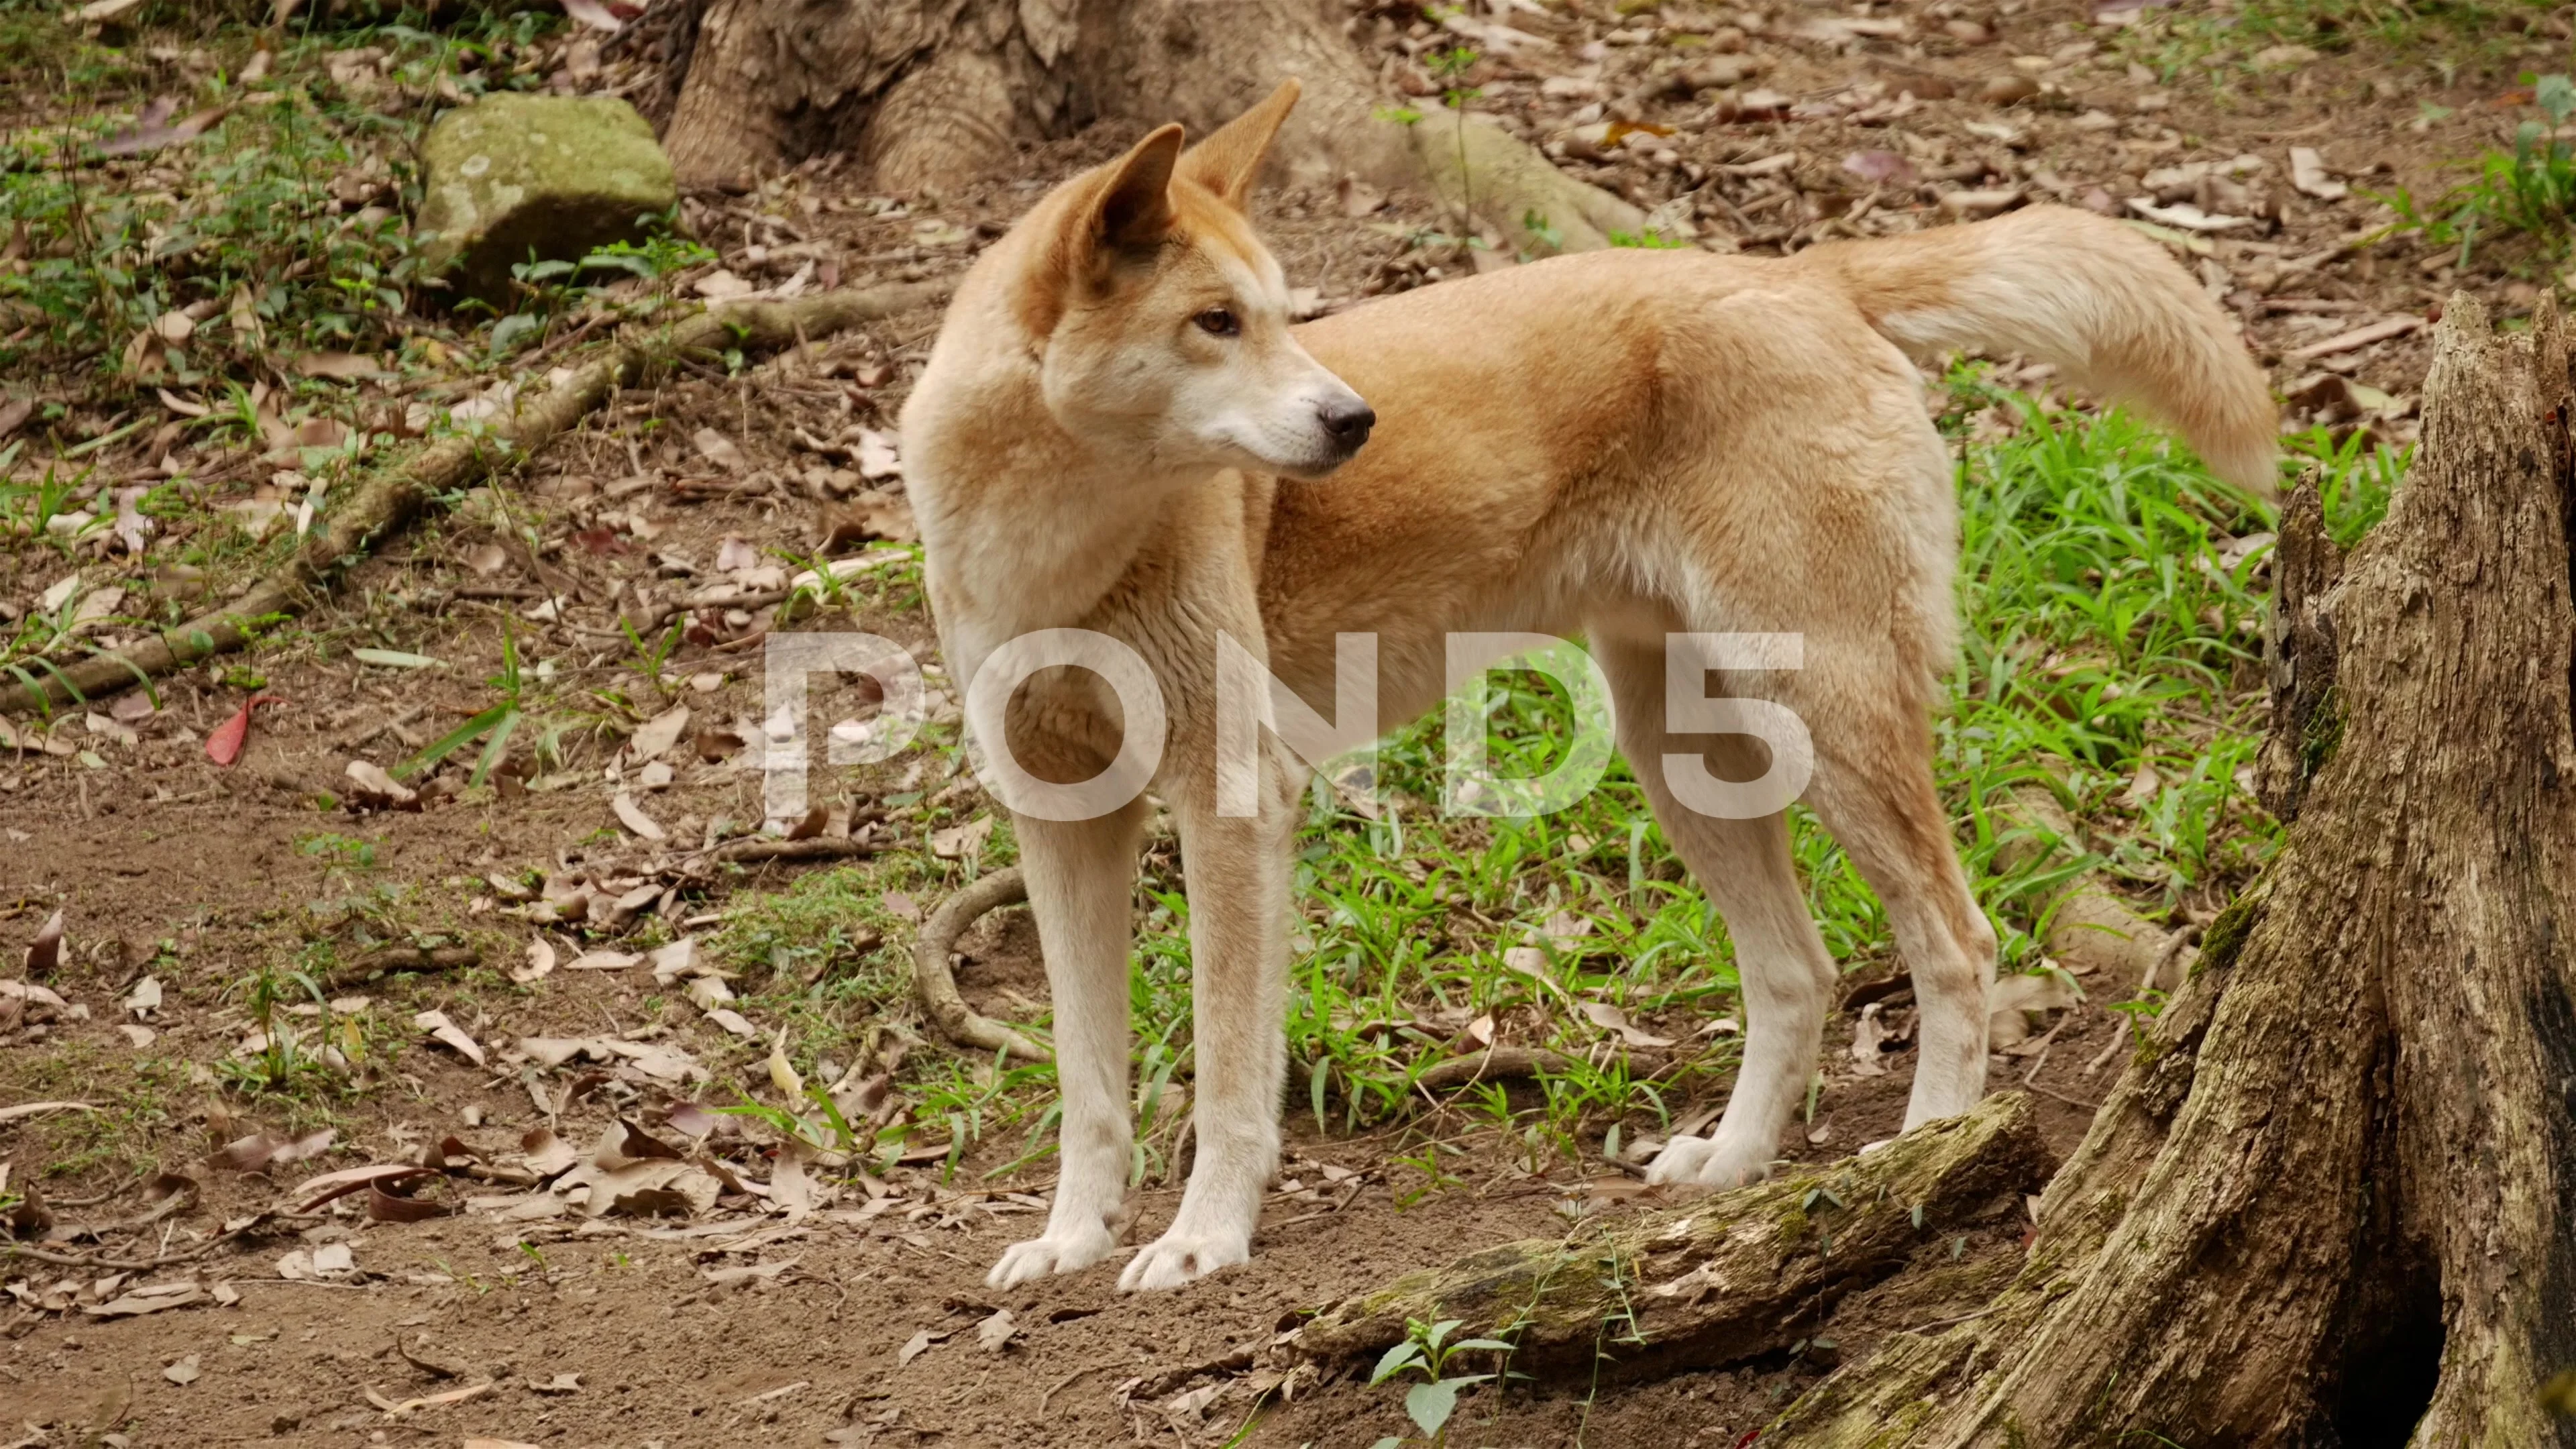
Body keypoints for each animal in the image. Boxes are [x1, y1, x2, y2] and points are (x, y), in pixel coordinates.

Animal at [906, 82, 2277, 1284]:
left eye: (1283, 315)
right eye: (1214, 323)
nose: (1356, 423)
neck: (1056, 551)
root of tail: (1804, 272)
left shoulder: (1233, 801)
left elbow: (1231, 1070)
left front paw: (1202, 1242)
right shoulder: (1062, 823)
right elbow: (1088, 1081)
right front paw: (1072, 1240)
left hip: (1826, 722)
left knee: (1956, 941)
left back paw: (1930, 1146)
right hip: (1682, 754)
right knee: (1799, 973)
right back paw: (1733, 1164)